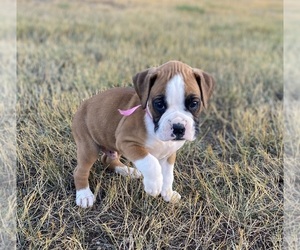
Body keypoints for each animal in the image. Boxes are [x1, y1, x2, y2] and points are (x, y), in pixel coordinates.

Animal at [71, 60, 214, 207]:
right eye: (159, 104)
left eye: (194, 103)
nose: (178, 127)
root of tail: (83, 104)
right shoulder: (127, 142)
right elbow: (150, 162)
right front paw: (154, 185)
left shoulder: (169, 154)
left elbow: (168, 175)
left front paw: (167, 193)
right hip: (89, 149)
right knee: (79, 171)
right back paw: (84, 195)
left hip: (113, 146)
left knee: (107, 160)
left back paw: (128, 171)